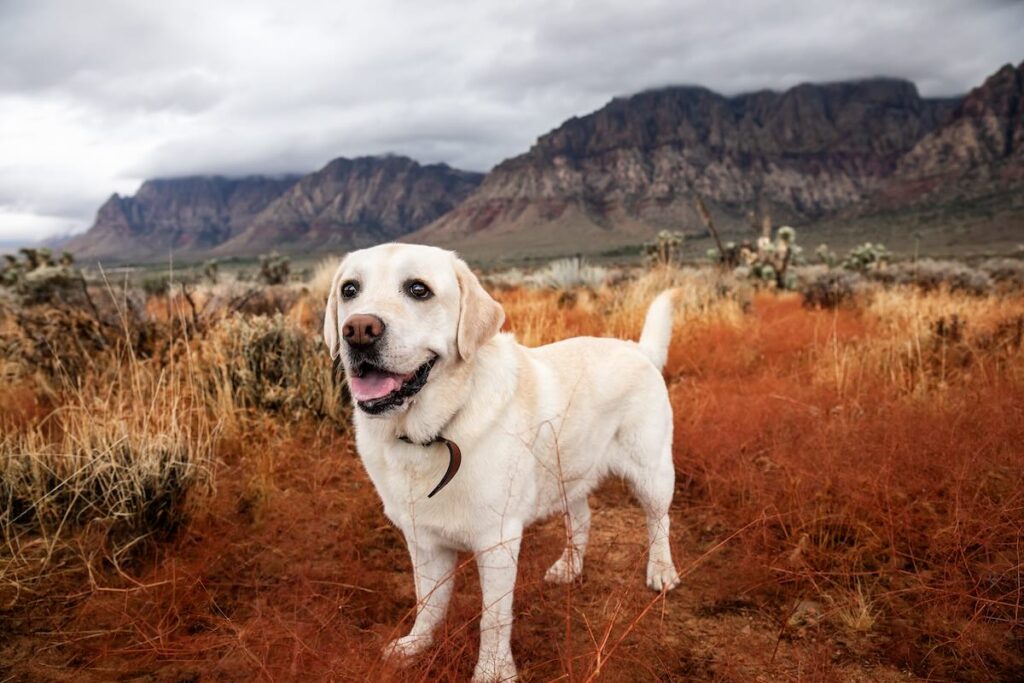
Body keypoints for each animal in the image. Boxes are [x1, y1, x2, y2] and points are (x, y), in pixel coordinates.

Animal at [321, 242, 679, 679]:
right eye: (349, 289)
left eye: (419, 289)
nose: (357, 331)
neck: (433, 431)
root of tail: (637, 349)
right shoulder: (423, 541)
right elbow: (429, 602)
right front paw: (416, 646)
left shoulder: (498, 541)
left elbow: (492, 618)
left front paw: (492, 671)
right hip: (566, 471)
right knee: (581, 518)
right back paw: (568, 567)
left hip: (652, 473)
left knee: (659, 522)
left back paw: (661, 571)